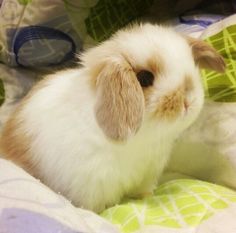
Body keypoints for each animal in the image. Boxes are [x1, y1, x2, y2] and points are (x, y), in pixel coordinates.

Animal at [0, 24, 225, 213]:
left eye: (191, 64)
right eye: (144, 78)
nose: (188, 101)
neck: (142, 141)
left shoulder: (148, 172)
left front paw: (146, 196)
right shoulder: (90, 187)